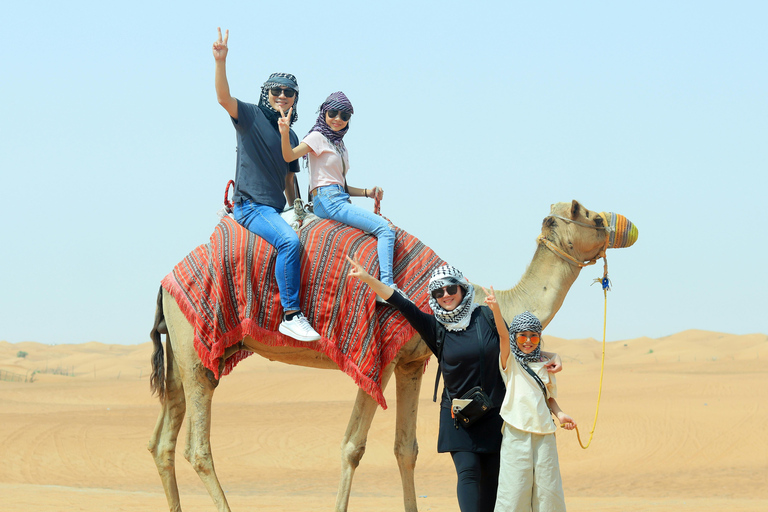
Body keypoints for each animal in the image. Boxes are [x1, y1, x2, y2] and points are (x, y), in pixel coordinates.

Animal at [148, 200, 636, 512]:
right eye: (592, 216)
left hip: (185, 352)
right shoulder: (375, 360)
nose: (627, 227)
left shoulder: (412, 362)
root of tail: (166, 283)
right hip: (196, 348)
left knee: (162, 441)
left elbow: (407, 449)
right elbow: (352, 447)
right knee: (197, 448)